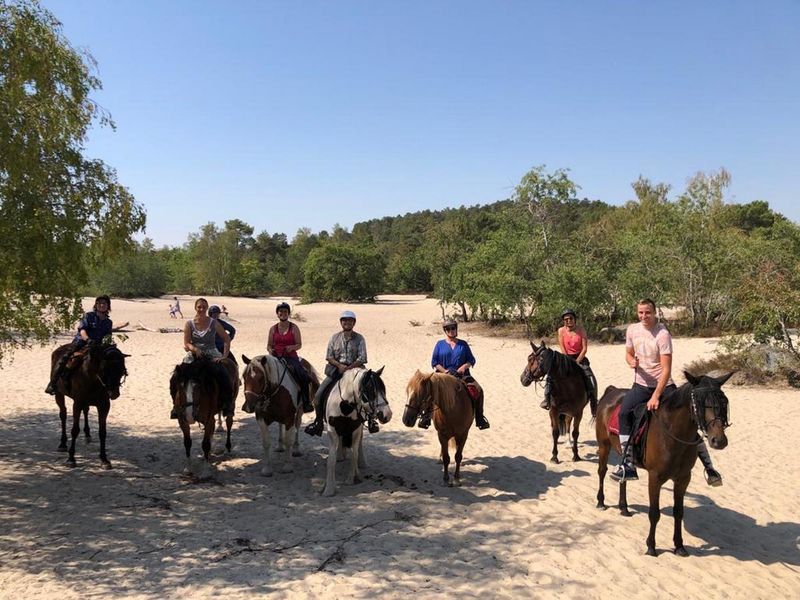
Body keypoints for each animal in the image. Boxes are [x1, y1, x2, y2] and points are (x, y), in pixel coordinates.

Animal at [322, 366, 390, 496]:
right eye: (370, 389)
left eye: (384, 389)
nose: (387, 415)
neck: (345, 407)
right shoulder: (332, 432)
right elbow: (331, 460)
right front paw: (329, 489)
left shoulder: (356, 430)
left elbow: (354, 454)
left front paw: (351, 479)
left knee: (358, 448)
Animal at [592, 370, 732, 556]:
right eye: (700, 403)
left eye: (723, 402)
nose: (719, 441)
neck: (673, 433)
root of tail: (612, 391)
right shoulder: (655, 478)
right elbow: (654, 513)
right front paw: (651, 546)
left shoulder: (683, 479)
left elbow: (679, 512)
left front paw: (679, 546)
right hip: (603, 445)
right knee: (602, 471)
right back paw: (601, 502)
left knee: (624, 477)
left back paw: (624, 508)